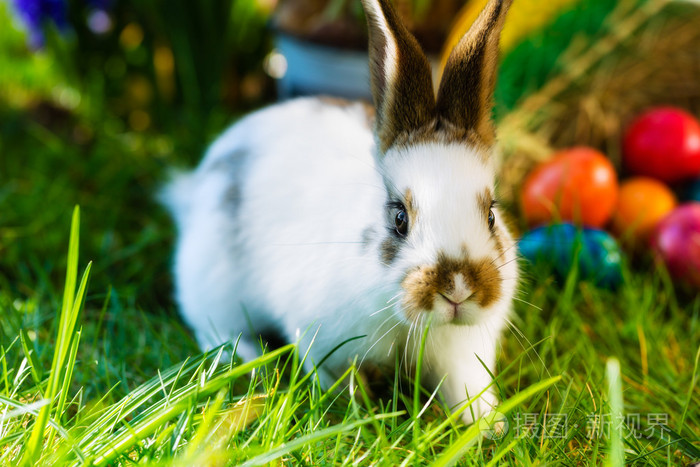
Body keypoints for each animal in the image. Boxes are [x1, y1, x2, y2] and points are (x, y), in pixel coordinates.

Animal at [161, 0, 516, 426]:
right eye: (399, 219)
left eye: (491, 215)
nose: (458, 289)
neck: (405, 323)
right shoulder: (319, 337)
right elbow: (333, 376)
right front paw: (353, 412)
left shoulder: (459, 356)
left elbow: (464, 388)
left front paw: (489, 425)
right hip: (214, 289)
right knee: (212, 329)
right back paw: (248, 359)